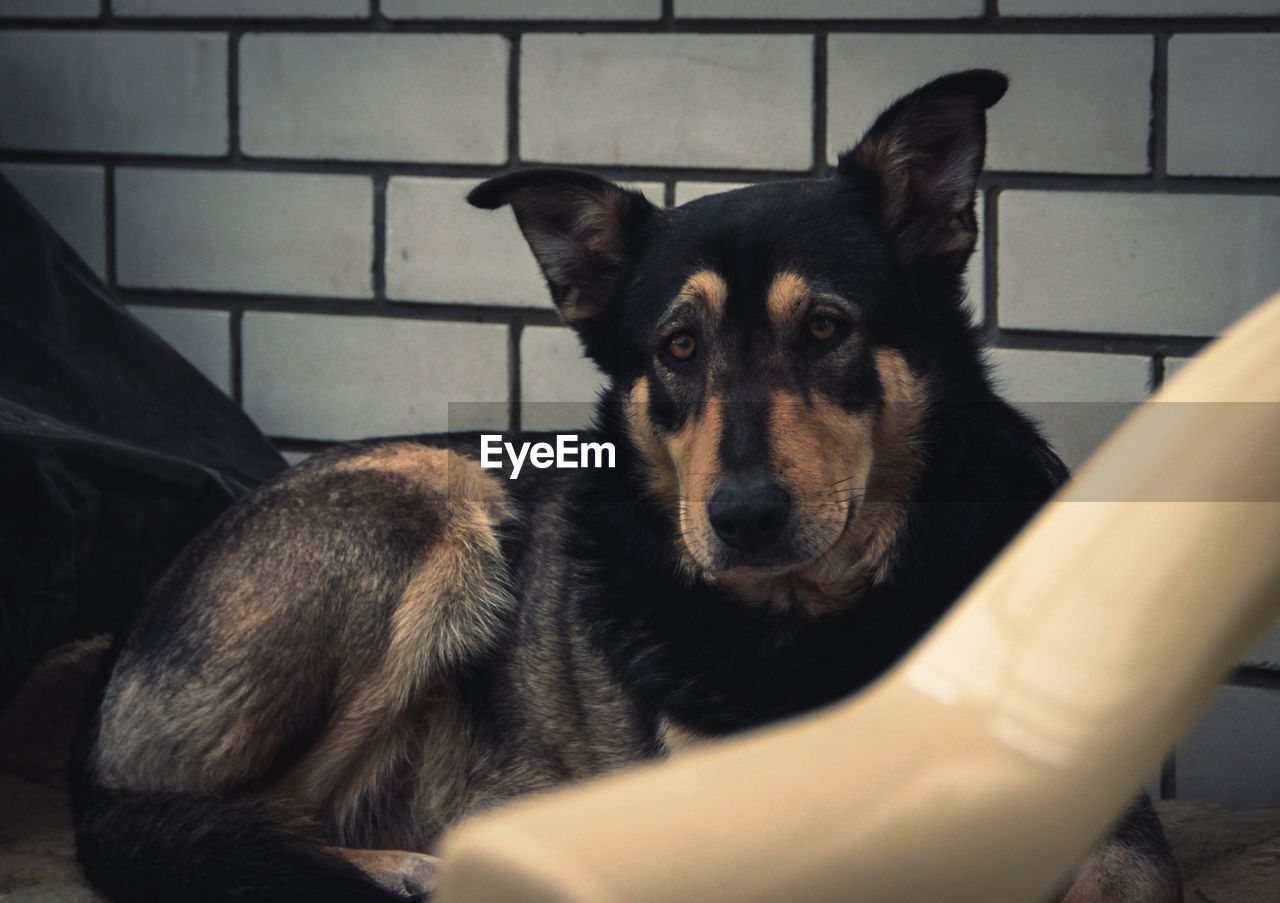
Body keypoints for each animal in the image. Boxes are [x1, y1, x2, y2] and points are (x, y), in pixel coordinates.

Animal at [70, 72, 1177, 901]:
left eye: (825, 327)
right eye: (677, 348)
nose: (741, 518)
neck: (809, 618)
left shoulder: (1109, 823)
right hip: (432, 493)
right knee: (235, 820)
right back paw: (407, 869)